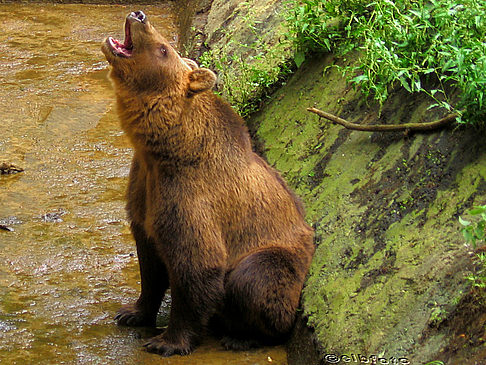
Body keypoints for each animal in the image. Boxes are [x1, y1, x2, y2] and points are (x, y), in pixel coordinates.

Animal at [102, 10, 316, 356]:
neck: (163, 149)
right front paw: (132, 312)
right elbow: (149, 259)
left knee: (255, 278)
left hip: (282, 256)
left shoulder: (189, 194)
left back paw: (242, 336)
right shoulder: (143, 188)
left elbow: (196, 263)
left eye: (163, 48)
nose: (139, 15)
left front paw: (167, 341)